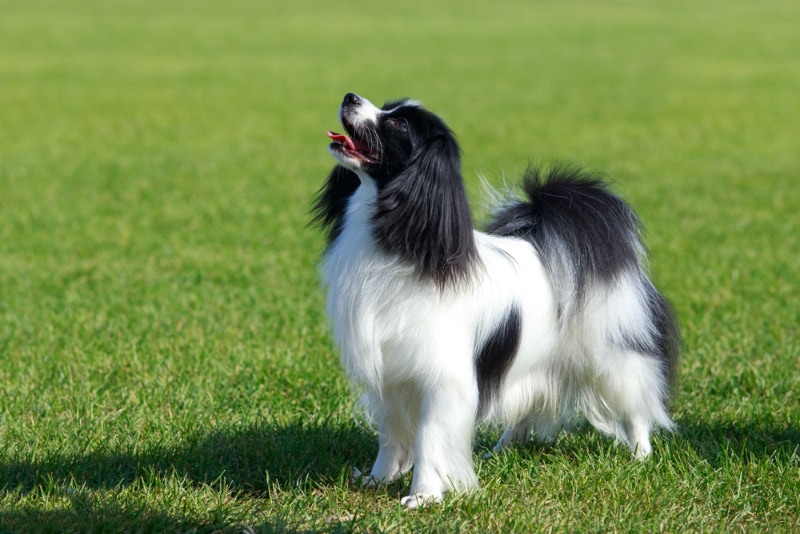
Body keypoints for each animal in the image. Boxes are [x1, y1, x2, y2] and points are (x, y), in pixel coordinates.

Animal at [312, 93, 680, 510]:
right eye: (387, 107)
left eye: (399, 124)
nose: (350, 97)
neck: (401, 244)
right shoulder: (392, 378)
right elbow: (391, 437)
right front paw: (377, 480)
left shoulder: (442, 381)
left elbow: (429, 439)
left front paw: (422, 496)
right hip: (532, 363)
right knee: (524, 408)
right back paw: (501, 449)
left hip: (612, 360)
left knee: (637, 405)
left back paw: (640, 455)